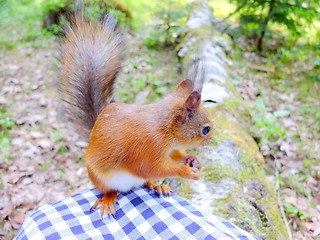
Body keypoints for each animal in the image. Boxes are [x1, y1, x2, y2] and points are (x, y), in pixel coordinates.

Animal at [58, 14, 214, 218]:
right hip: (98, 176)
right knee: (108, 188)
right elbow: (151, 168)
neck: (167, 131)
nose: (213, 140)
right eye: (206, 129)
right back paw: (108, 198)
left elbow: (175, 156)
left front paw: (191, 159)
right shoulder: (148, 148)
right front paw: (186, 171)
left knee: (146, 181)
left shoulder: (169, 149)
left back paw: (157, 186)